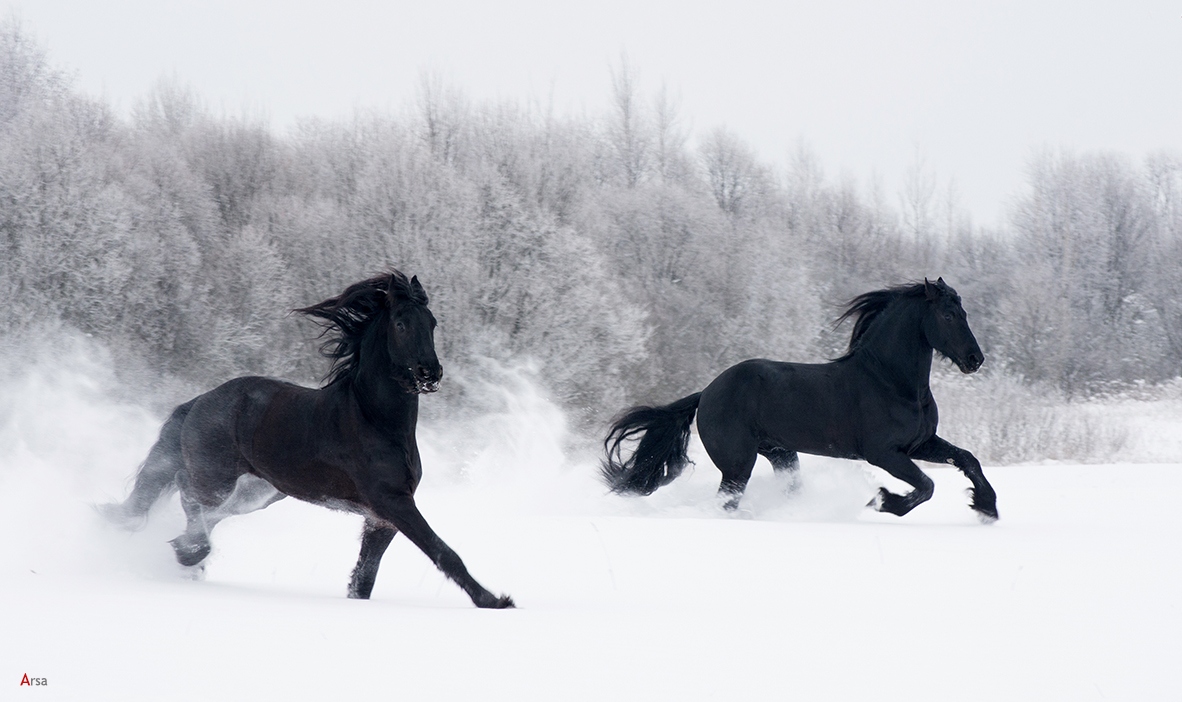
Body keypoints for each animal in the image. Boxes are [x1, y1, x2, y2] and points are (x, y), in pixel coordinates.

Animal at [108, 270, 515, 605]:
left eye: (432, 323)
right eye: (401, 323)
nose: (430, 373)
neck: (376, 422)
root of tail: (200, 400)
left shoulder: (381, 519)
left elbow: (364, 580)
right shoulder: (394, 503)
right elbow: (444, 552)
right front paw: (496, 601)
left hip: (258, 493)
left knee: (205, 513)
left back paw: (190, 555)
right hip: (216, 478)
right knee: (187, 493)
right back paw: (190, 551)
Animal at [600, 277, 997, 520]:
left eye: (964, 312)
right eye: (948, 314)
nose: (975, 359)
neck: (890, 382)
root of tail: (707, 392)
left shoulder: (921, 443)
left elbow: (968, 459)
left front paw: (987, 508)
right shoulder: (883, 452)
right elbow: (926, 486)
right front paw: (882, 501)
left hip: (781, 455)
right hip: (738, 464)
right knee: (727, 502)